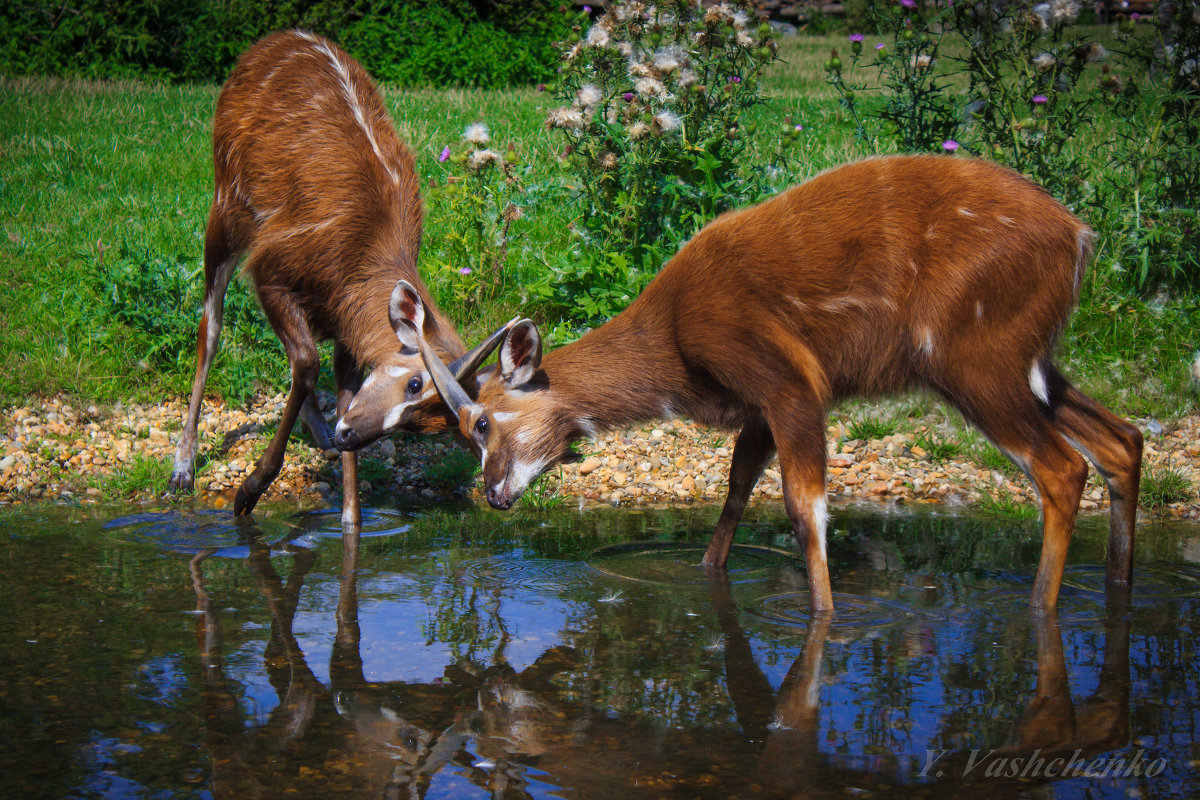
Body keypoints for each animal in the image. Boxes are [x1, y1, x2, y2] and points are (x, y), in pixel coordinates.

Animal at [420, 154, 1142, 614]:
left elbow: (805, 509)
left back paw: (1040, 611)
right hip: (1027, 360)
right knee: (1122, 440)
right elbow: (736, 491)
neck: (674, 345)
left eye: (481, 422)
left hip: (975, 357)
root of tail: (1079, 238)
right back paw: (1113, 592)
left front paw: (823, 618)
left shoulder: (787, 379)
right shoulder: (757, 407)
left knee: (1061, 468)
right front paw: (706, 576)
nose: (494, 496)